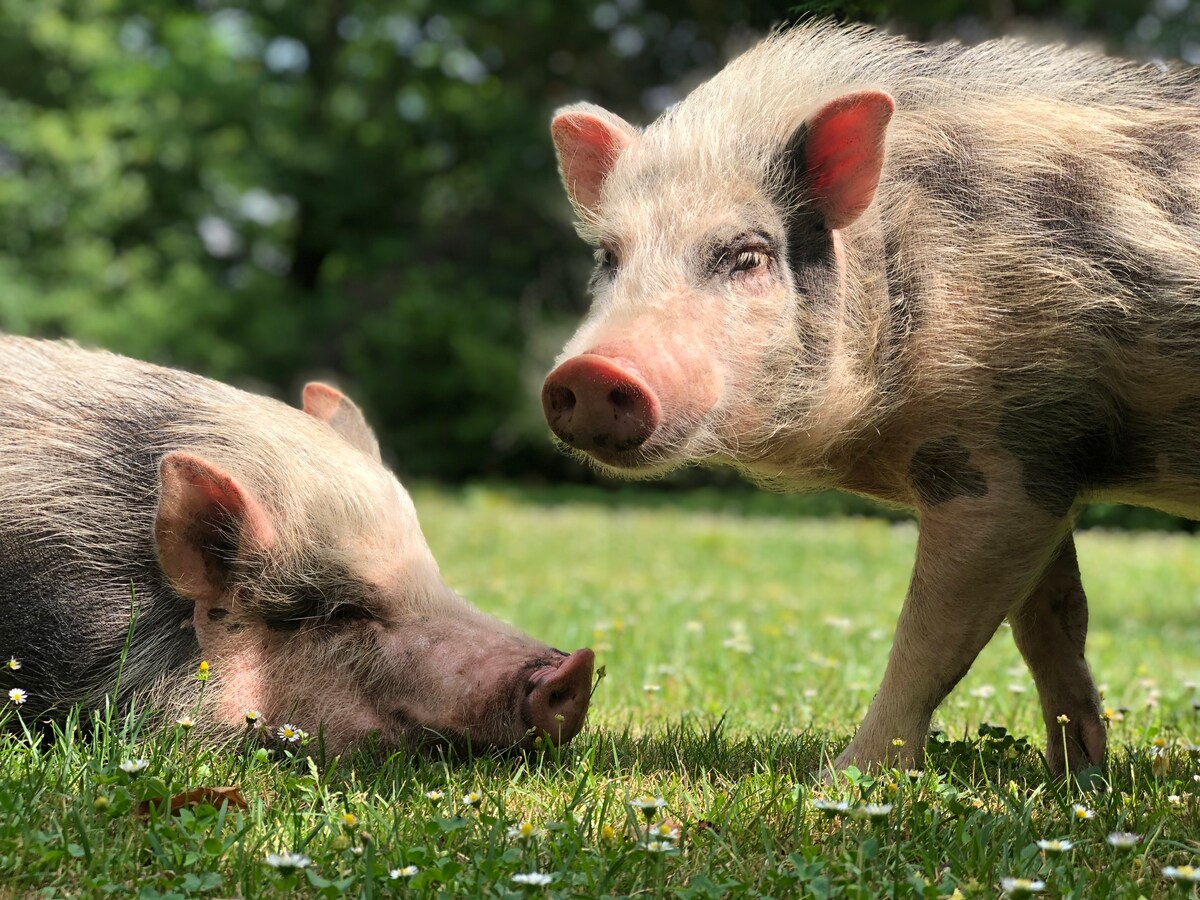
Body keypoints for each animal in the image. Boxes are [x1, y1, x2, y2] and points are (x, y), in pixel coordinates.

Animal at [544, 24, 1200, 777]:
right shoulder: (1049, 461)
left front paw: (843, 779)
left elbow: (931, 636)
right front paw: (1076, 774)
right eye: (609, 258)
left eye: (748, 255)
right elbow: (1052, 622)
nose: (590, 370)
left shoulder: (996, 463)